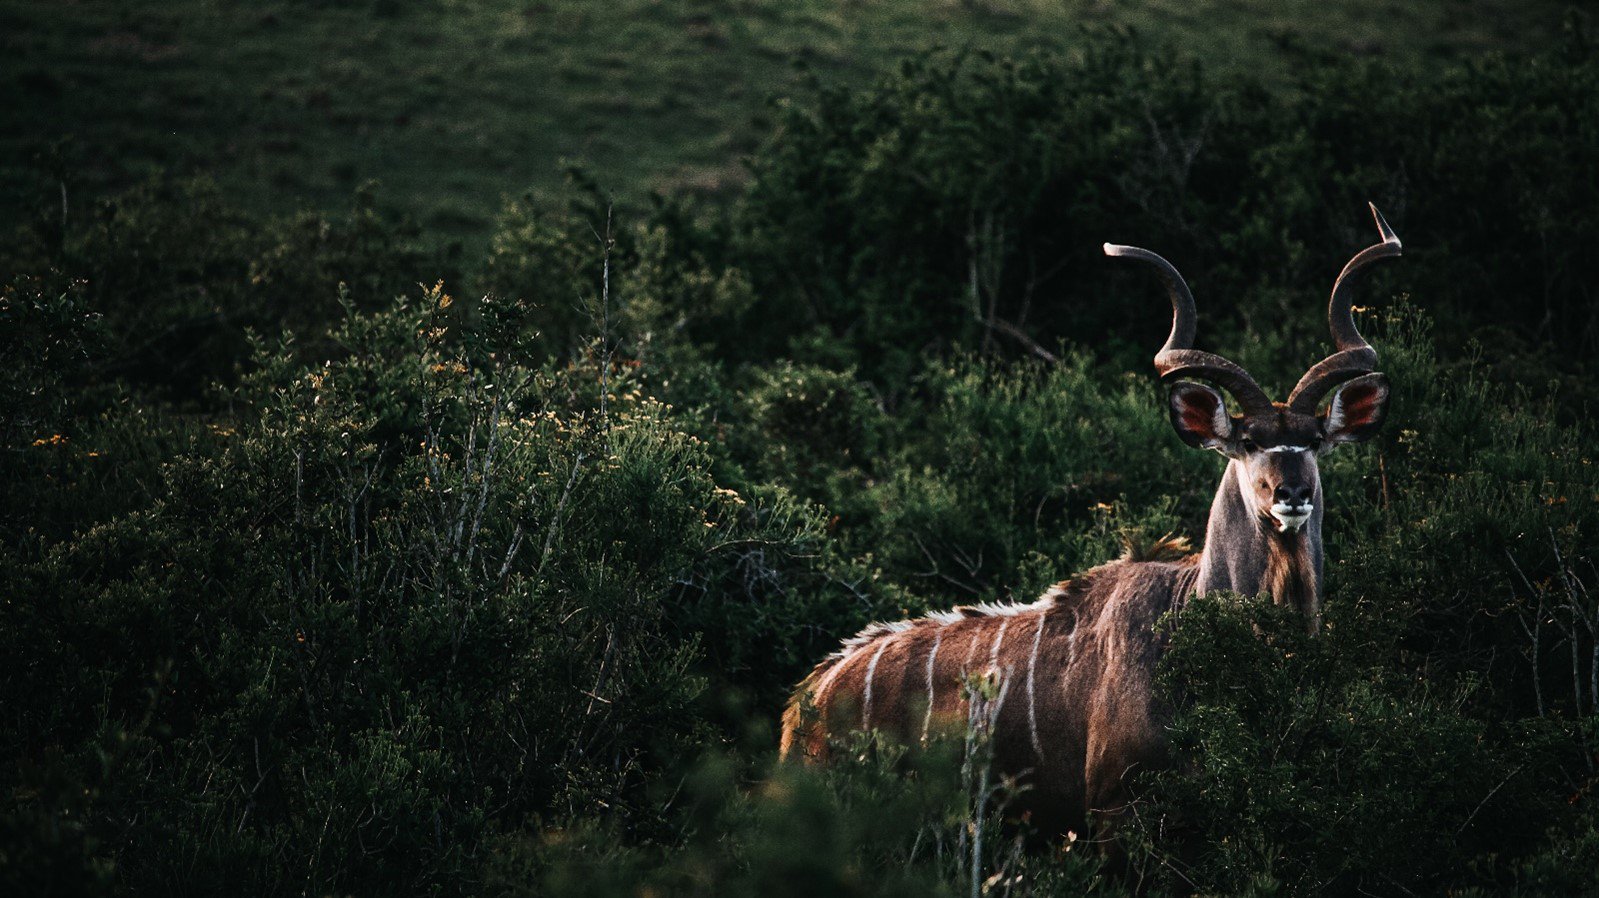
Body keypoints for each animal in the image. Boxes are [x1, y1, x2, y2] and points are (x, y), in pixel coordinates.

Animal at [783, 202, 1400, 830]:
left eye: (1314, 440)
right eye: (1249, 442)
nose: (1291, 493)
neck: (1190, 618)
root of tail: (806, 702)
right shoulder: (1114, 808)